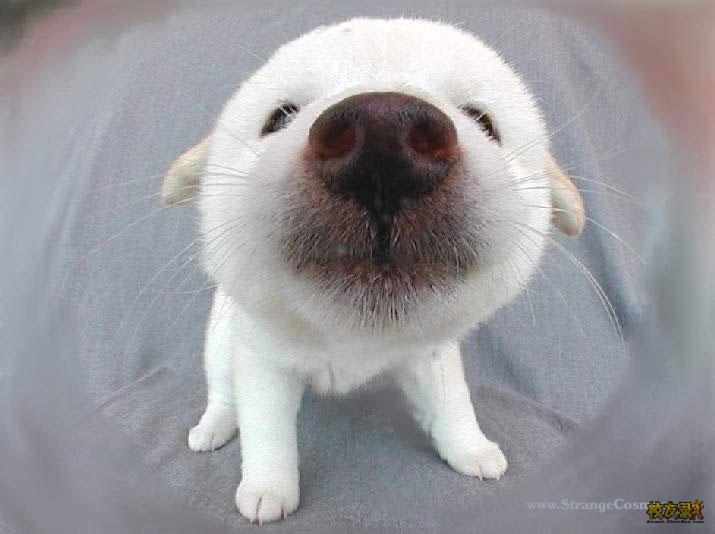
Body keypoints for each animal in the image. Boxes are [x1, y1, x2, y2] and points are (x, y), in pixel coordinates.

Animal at [161, 17, 584, 523]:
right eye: (279, 117)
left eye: (484, 122)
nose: (383, 135)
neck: (351, 337)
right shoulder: (262, 361)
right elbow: (267, 432)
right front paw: (267, 487)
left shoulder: (430, 355)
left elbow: (453, 404)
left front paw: (470, 448)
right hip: (222, 340)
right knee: (223, 389)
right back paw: (216, 425)